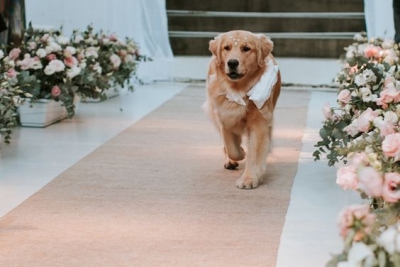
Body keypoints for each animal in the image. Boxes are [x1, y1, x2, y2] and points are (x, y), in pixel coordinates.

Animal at [203, 30, 282, 189]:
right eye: (226, 48)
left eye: (246, 48)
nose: (232, 63)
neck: (239, 89)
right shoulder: (225, 117)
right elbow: (232, 148)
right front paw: (240, 153)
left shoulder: (260, 122)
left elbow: (255, 152)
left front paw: (249, 178)